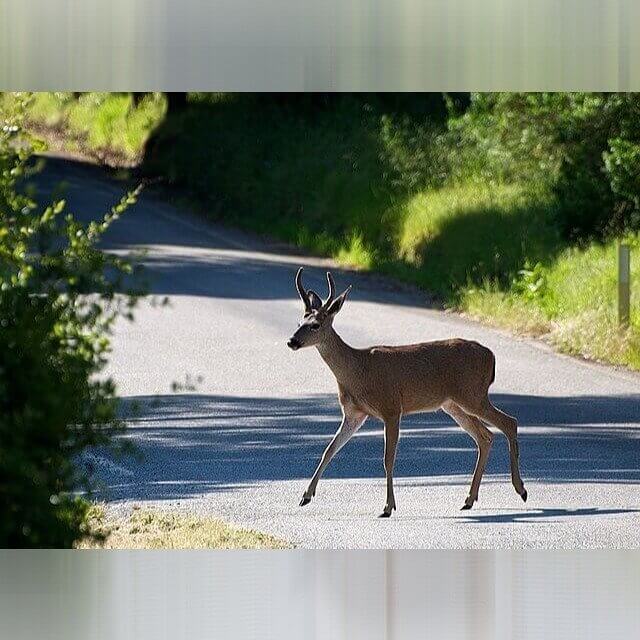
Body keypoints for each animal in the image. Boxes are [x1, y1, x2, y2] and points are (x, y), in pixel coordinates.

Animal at [287, 267, 527, 518]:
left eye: (315, 325)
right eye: (300, 321)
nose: (291, 341)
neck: (359, 370)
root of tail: (491, 356)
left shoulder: (391, 407)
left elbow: (388, 459)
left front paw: (388, 506)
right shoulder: (354, 414)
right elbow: (329, 449)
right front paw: (305, 496)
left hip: (472, 394)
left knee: (509, 422)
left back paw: (520, 489)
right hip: (453, 404)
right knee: (485, 436)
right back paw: (469, 499)